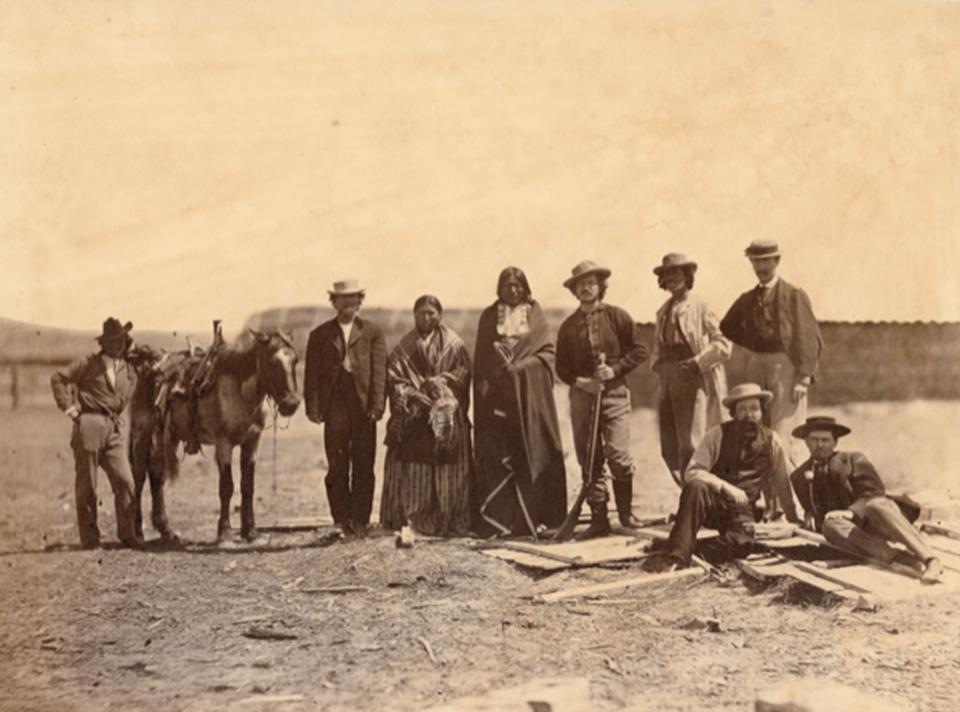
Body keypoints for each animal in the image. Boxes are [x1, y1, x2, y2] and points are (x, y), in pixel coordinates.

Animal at [128, 330, 300, 544]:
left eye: (295, 360)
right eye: (272, 362)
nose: (291, 403)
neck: (240, 391)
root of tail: (149, 368)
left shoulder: (252, 443)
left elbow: (247, 486)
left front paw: (250, 532)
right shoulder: (224, 444)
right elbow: (226, 487)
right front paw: (224, 532)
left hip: (166, 438)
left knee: (157, 476)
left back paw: (167, 531)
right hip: (142, 436)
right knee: (139, 479)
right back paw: (137, 532)